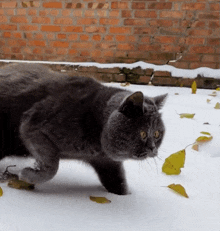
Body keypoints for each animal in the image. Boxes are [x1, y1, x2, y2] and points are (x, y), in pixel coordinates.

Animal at [0, 63, 165, 195]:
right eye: (143, 133)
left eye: (157, 134)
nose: (152, 148)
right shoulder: (32, 125)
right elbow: (52, 166)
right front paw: (27, 175)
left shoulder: (106, 163)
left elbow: (119, 183)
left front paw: (126, 196)